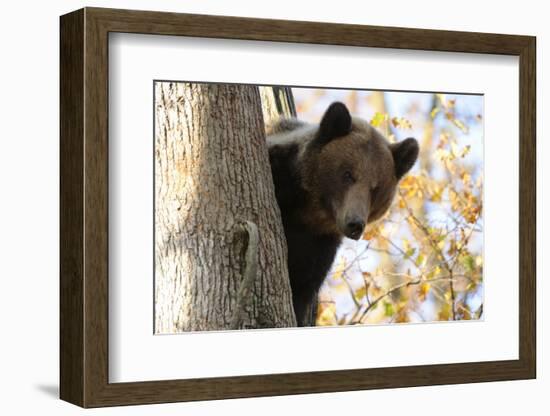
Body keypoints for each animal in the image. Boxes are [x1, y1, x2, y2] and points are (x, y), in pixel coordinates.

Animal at [268, 101, 418, 324]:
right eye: (348, 174)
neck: (308, 213)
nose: (355, 223)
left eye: (375, 188)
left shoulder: (318, 248)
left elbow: (301, 288)